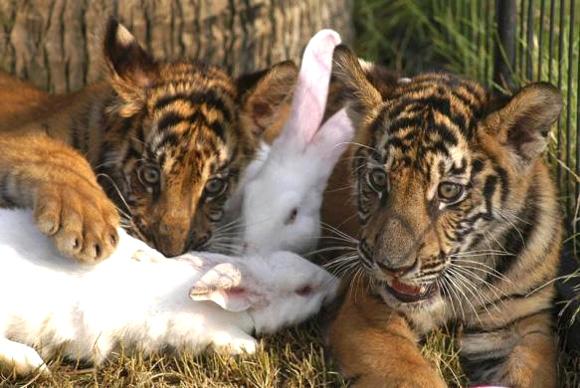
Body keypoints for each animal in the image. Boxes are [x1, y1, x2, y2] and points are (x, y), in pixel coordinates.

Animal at [0, 209, 336, 376]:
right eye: (304, 290)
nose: (336, 284)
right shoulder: (198, 331)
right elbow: (239, 343)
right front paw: (251, 348)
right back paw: (33, 365)